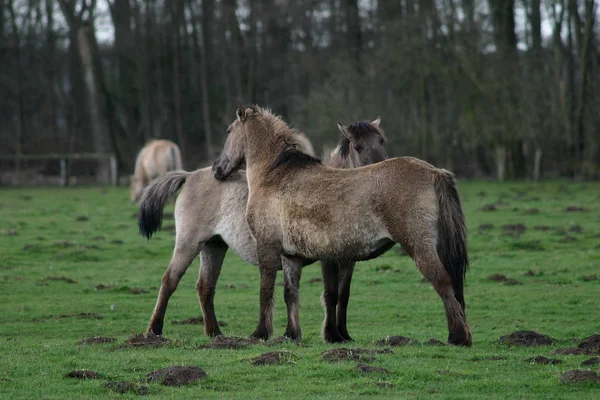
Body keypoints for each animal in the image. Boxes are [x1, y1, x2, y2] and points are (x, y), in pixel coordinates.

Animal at [138, 120, 386, 340]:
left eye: (382, 142)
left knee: (205, 287)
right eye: (358, 147)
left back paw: (215, 333)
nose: (380, 173)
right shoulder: (329, 258)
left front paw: (344, 335)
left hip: (214, 246)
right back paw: (155, 330)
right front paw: (332, 335)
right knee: (169, 280)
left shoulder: (348, 260)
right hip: (189, 244)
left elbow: (343, 295)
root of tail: (189, 175)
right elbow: (331, 294)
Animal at [213, 104, 472, 346]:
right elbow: (291, 293)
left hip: (420, 247)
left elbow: (266, 292)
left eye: (228, 131)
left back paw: (458, 337)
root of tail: (435, 172)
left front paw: (260, 334)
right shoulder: (291, 256)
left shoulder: (267, 248)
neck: (276, 173)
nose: (216, 169)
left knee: (443, 281)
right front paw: (291, 334)